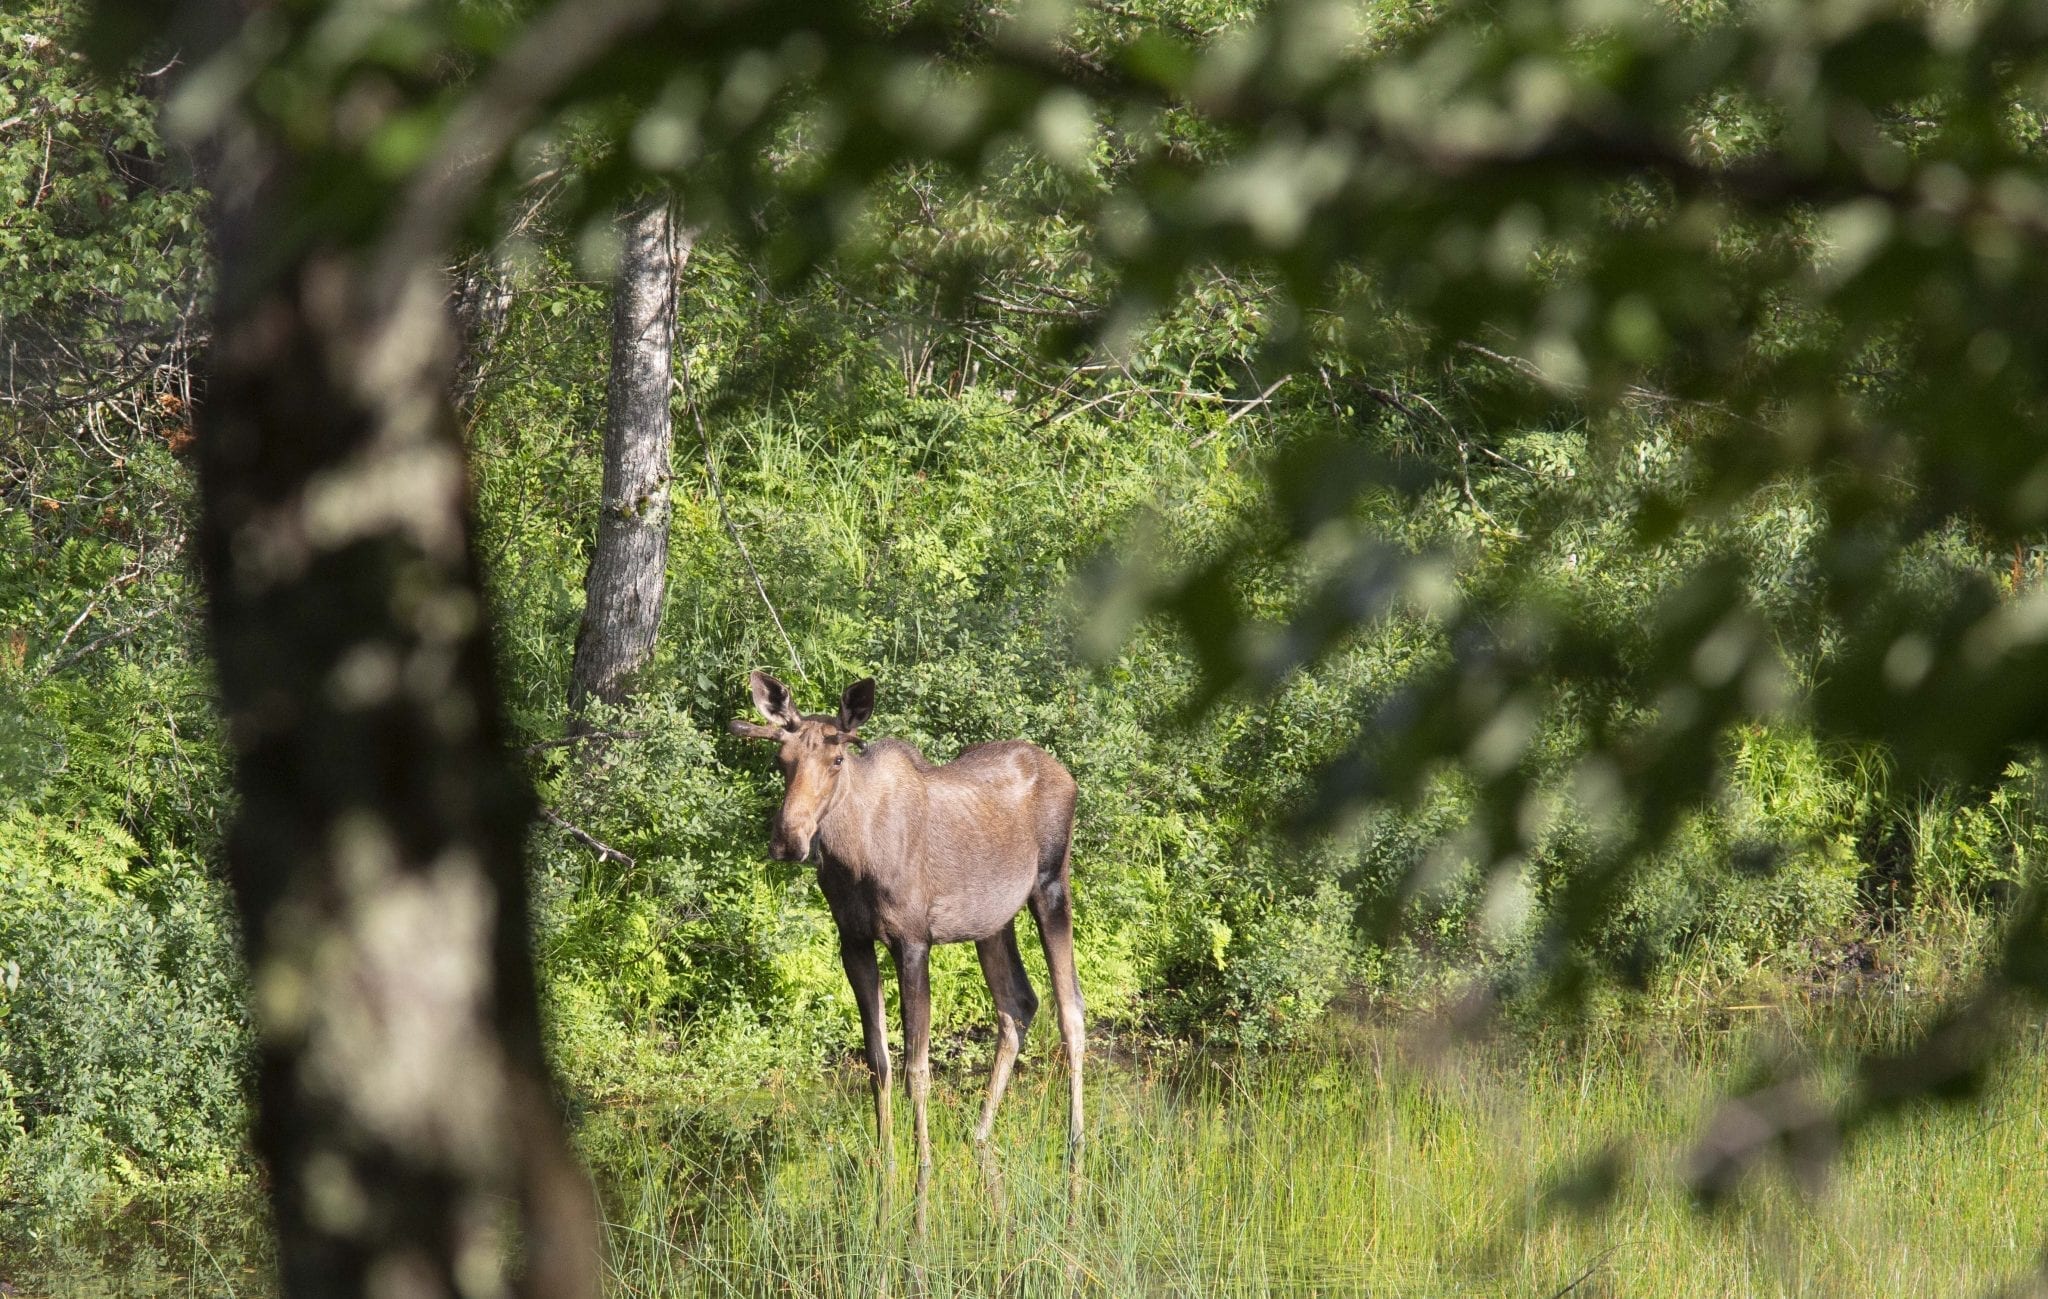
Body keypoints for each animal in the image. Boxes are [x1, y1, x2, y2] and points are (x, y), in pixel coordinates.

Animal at [737, 672, 1089, 1171]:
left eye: (837, 759)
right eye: (780, 759)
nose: (789, 840)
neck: (852, 859)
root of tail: (1068, 775)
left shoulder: (913, 941)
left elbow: (916, 1067)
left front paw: (922, 1160)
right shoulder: (853, 942)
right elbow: (878, 1061)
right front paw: (885, 1155)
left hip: (1052, 886)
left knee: (1070, 1009)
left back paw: (1076, 1139)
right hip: (992, 922)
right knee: (1017, 1005)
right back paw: (981, 1132)